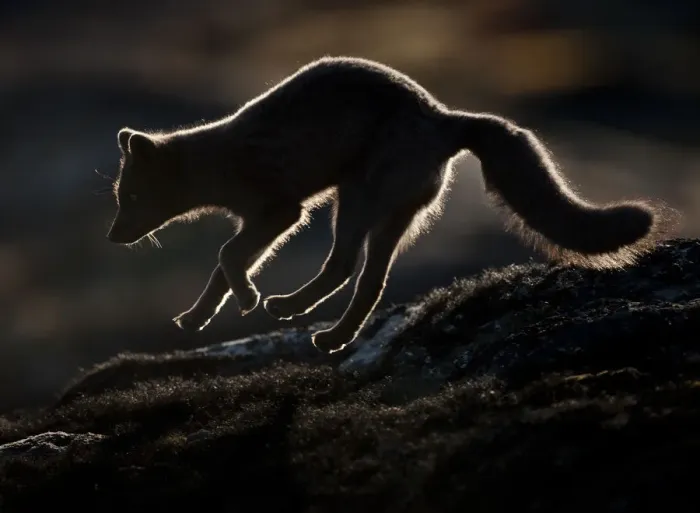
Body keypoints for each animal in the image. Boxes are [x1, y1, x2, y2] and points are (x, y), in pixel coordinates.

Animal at [104, 56, 678, 353]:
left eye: (129, 197)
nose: (112, 237)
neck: (216, 161)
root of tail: (444, 116)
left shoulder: (282, 211)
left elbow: (226, 258)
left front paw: (245, 300)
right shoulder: (264, 219)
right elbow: (222, 267)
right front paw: (198, 318)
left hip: (358, 200)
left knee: (346, 268)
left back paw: (295, 313)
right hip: (386, 213)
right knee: (367, 279)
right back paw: (329, 334)